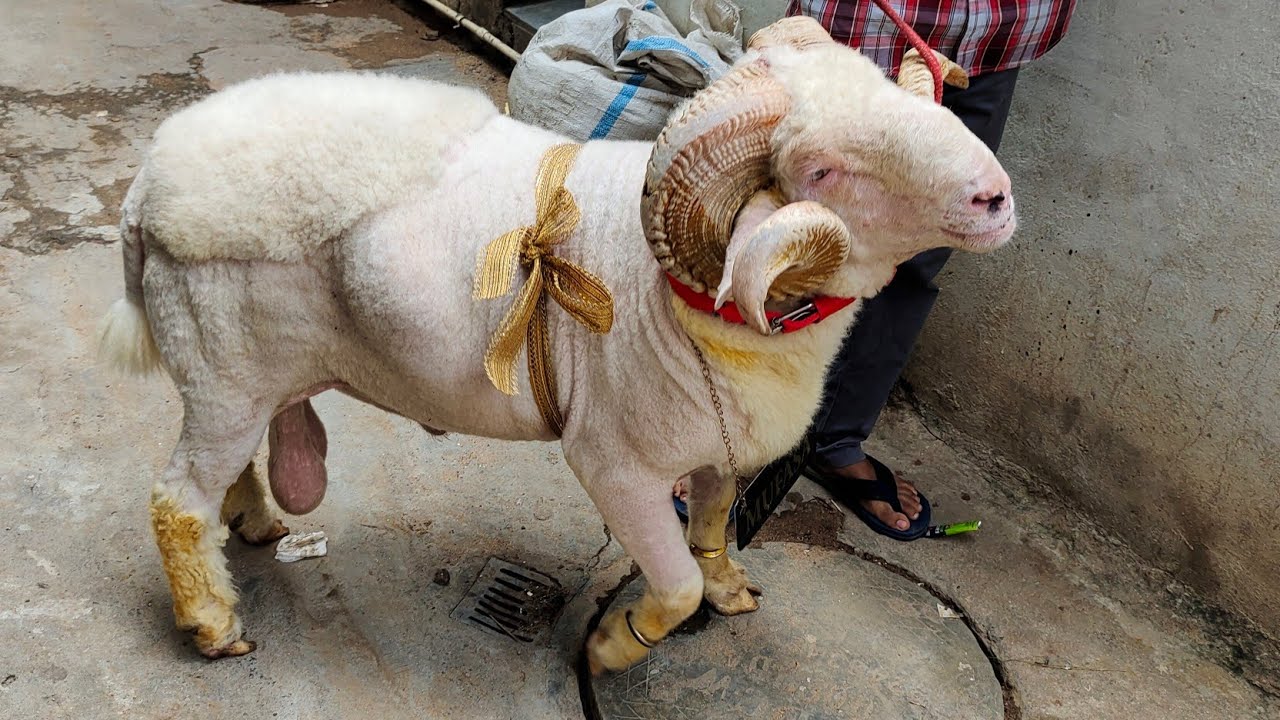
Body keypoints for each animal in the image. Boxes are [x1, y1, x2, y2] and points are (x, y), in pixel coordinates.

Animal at [97, 16, 1016, 673]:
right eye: (821, 171)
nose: (997, 196)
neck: (683, 299)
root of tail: (147, 186)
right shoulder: (615, 464)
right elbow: (674, 585)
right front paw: (614, 647)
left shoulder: (720, 445)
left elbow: (712, 529)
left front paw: (730, 588)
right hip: (222, 370)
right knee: (176, 501)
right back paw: (213, 622)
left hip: (245, 375)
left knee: (227, 468)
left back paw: (249, 523)